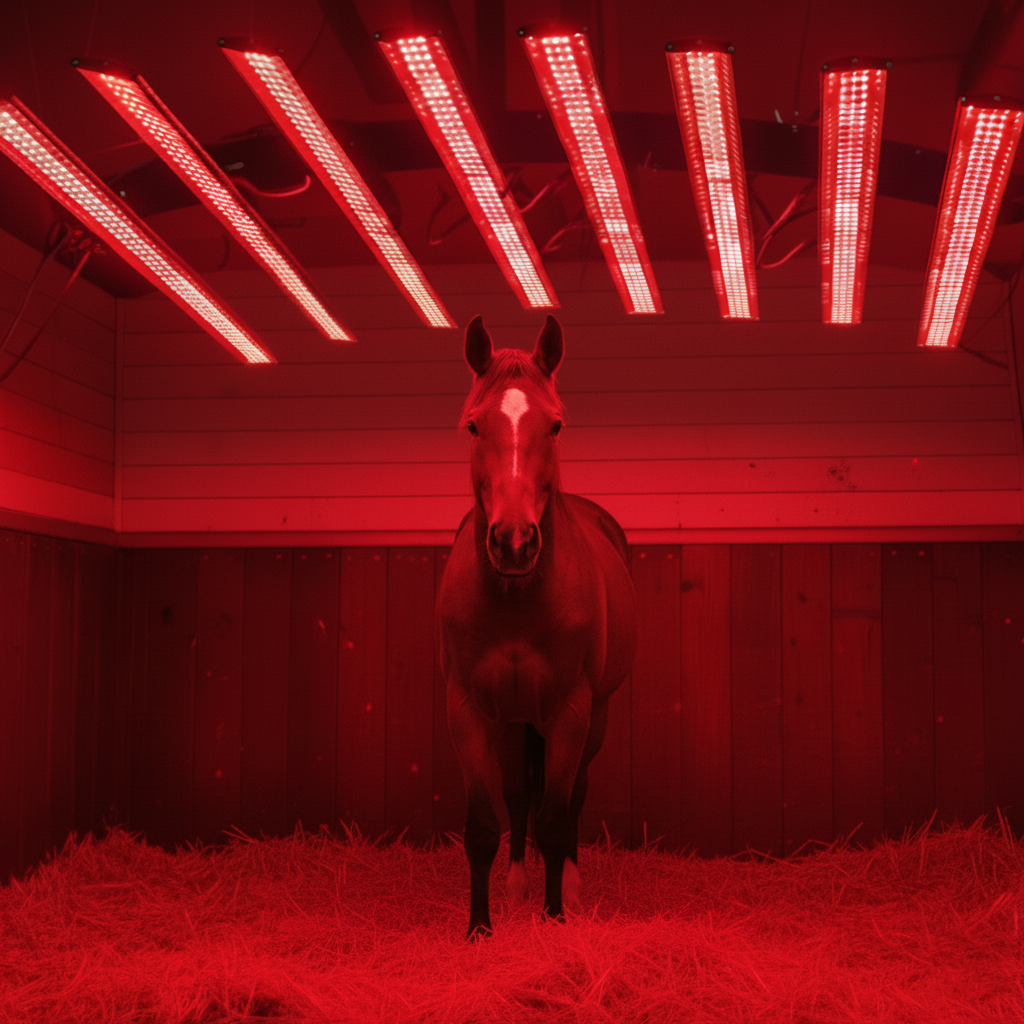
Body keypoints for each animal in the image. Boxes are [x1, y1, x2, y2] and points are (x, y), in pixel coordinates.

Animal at [436, 314, 637, 939]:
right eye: (474, 425)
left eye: (554, 424)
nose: (514, 541)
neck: (516, 601)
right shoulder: (469, 711)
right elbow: (484, 825)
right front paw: (480, 928)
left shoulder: (571, 711)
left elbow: (554, 818)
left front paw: (555, 917)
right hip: (513, 720)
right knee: (520, 794)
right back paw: (517, 884)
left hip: (593, 717)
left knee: (569, 800)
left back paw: (568, 885)